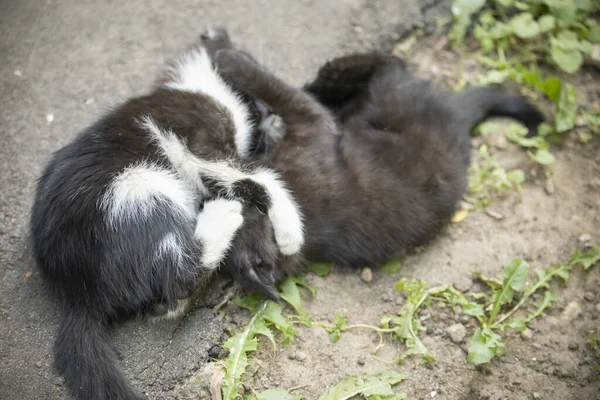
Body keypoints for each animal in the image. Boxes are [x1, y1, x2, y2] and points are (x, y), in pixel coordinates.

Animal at [29, 29, 304, 398]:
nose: (276, 120)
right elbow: (256, 174)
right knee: (178, 274)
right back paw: (223, 215)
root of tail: (78, 293)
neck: (197, 85)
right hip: (137, 188)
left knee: (165, 301)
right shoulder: (201, 141)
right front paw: (290, 228)